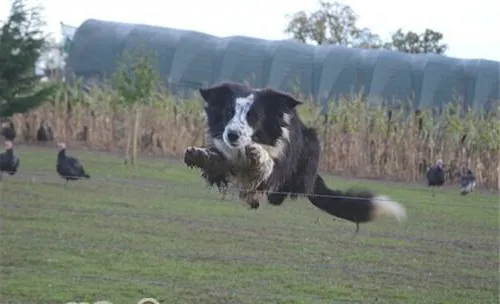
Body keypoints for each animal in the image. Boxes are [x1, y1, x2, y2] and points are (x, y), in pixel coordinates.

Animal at [184, 82, 406, 232]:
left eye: (253, 116)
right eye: (229, 112)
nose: (232, 134)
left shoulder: (278, 161)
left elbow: (267, 166)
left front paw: (259, 156)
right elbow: (217, 162)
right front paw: (199, 155)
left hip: (312, 145)